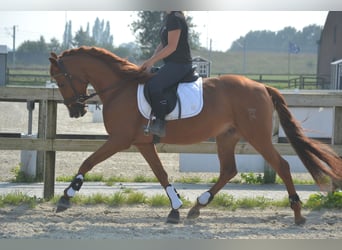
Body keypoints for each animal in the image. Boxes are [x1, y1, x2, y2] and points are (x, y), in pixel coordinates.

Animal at [48, 47, 342, 225]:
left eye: (60, 81)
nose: (76, 110)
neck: (119, 88)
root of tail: (261, 86)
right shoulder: (142, 143)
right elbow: (161, 174)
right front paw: (175, 208)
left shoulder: (119, 140)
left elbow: (88, 161)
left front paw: (66, 196)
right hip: (227, 137)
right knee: (229, 170)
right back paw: (197, 206)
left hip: (256, 136)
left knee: (281, 165)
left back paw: (298, 214)